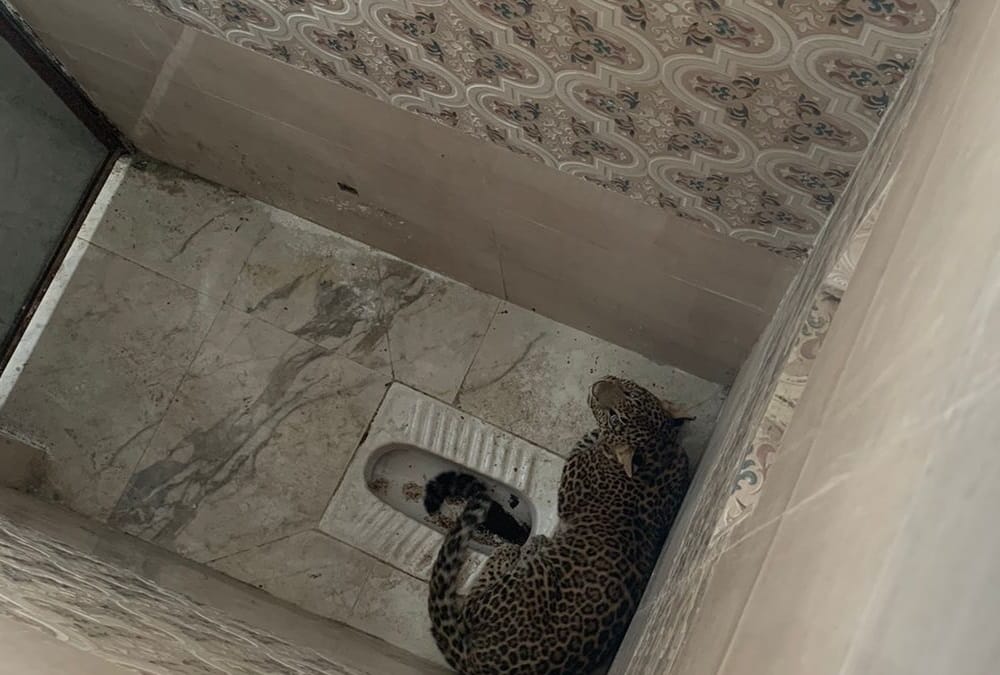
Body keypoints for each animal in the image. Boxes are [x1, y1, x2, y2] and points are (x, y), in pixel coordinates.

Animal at [424, 376, 694, 674]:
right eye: (629, 391)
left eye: (614, 416)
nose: (598, 385)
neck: (658, 453)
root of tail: (480, 662)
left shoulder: (570, 486)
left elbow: (583, 446)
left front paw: (596, 436)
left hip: (532, 579)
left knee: (471, 604)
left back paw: (520, 549)